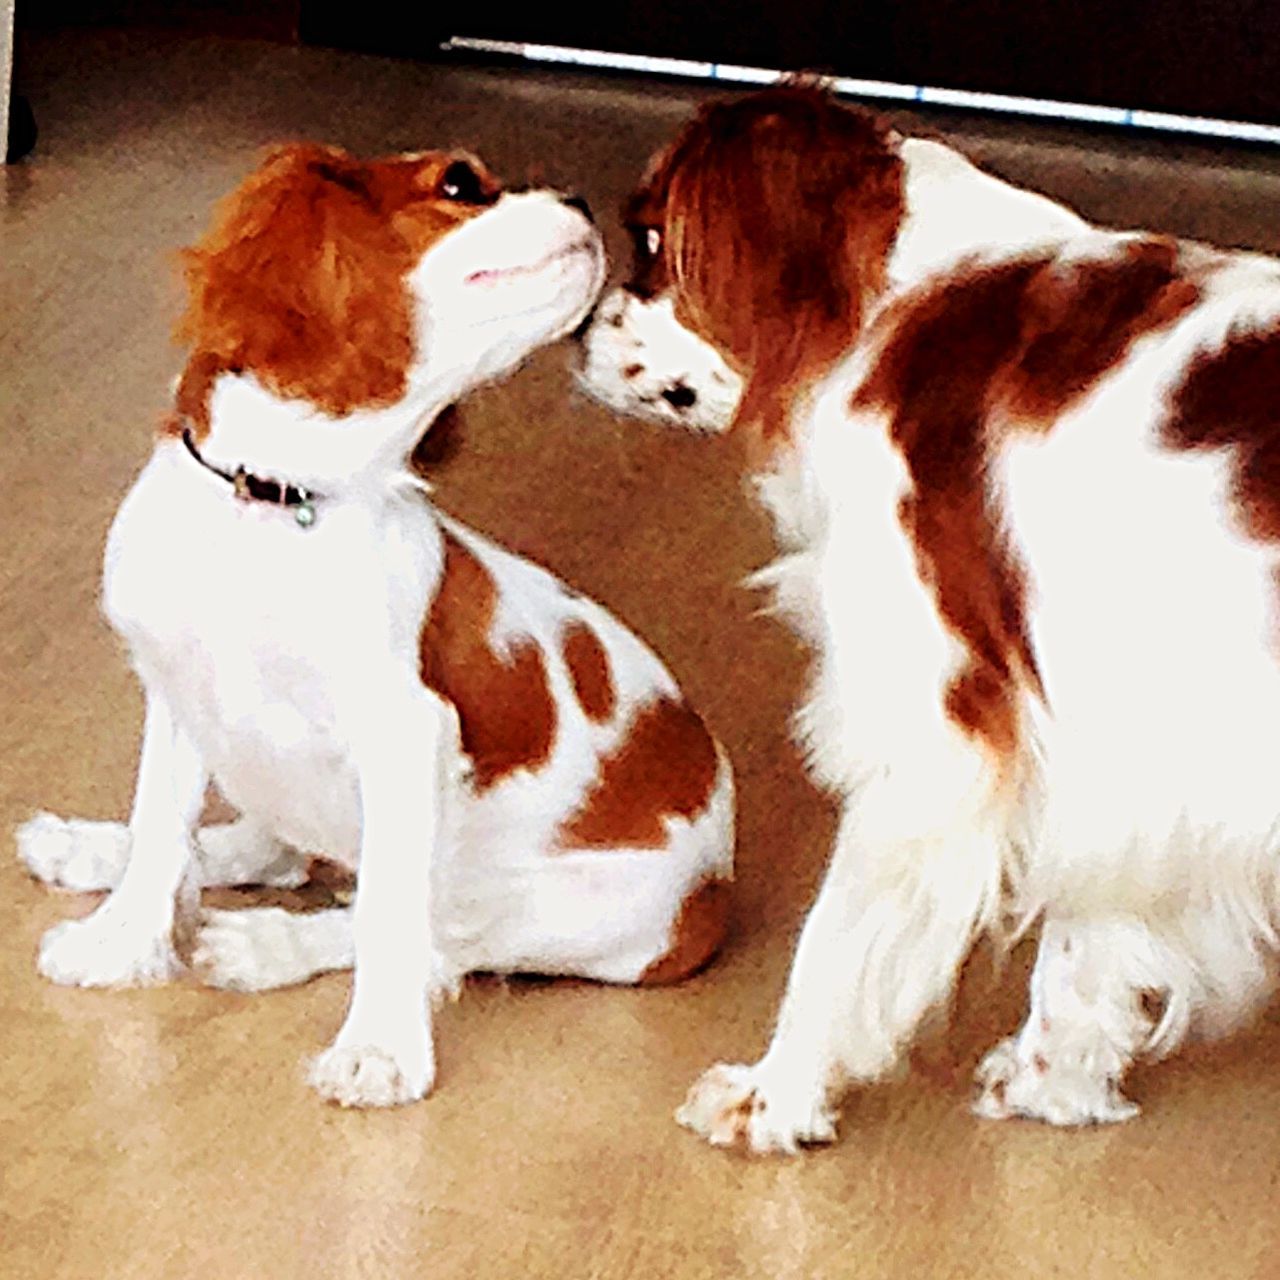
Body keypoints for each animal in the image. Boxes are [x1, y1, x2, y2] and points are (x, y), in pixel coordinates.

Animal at [20, 145, 732, 1111]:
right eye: (461, 183)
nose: (585, 199)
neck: (273, 505)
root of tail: (720, 878)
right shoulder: (177, 687)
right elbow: (162, 824)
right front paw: (122, 937)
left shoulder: (404, 734)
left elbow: (391, 914)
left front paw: (380, 1052)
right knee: (272, 851)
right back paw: (87, 849)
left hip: (592, 908)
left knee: (435, 934)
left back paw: (268, 945)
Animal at [581, 85, 1280, 1157]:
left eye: (653, 238)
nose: (580, 330)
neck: (896, 312)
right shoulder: (1115, 742)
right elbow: (1087, 939)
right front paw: (1052, 1084)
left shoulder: (931, 732)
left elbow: (831, 944)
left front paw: (774, 1095)